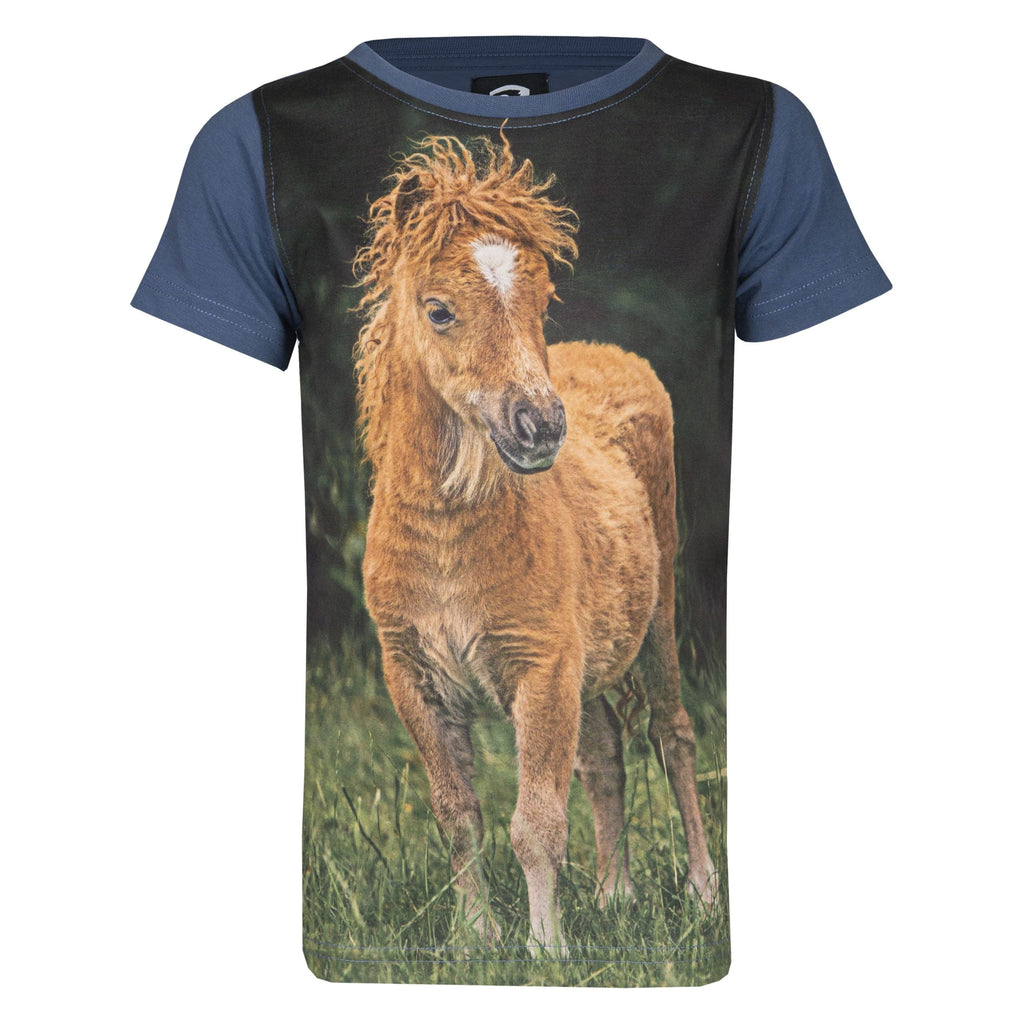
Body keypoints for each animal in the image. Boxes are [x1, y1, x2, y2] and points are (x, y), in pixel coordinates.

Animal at [352, 133, 717, 954]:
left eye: (541, 303)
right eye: (439, 310)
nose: (541, 427)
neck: (451, 545)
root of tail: (616, 356)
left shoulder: (541, 667)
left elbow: (536, 823)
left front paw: (546, 949)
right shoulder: (413, 677)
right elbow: (459, 817)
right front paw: (475, 939)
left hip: (658, 621)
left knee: (671, 735)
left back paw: (704, 892)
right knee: (606, 753)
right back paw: (615, 897)